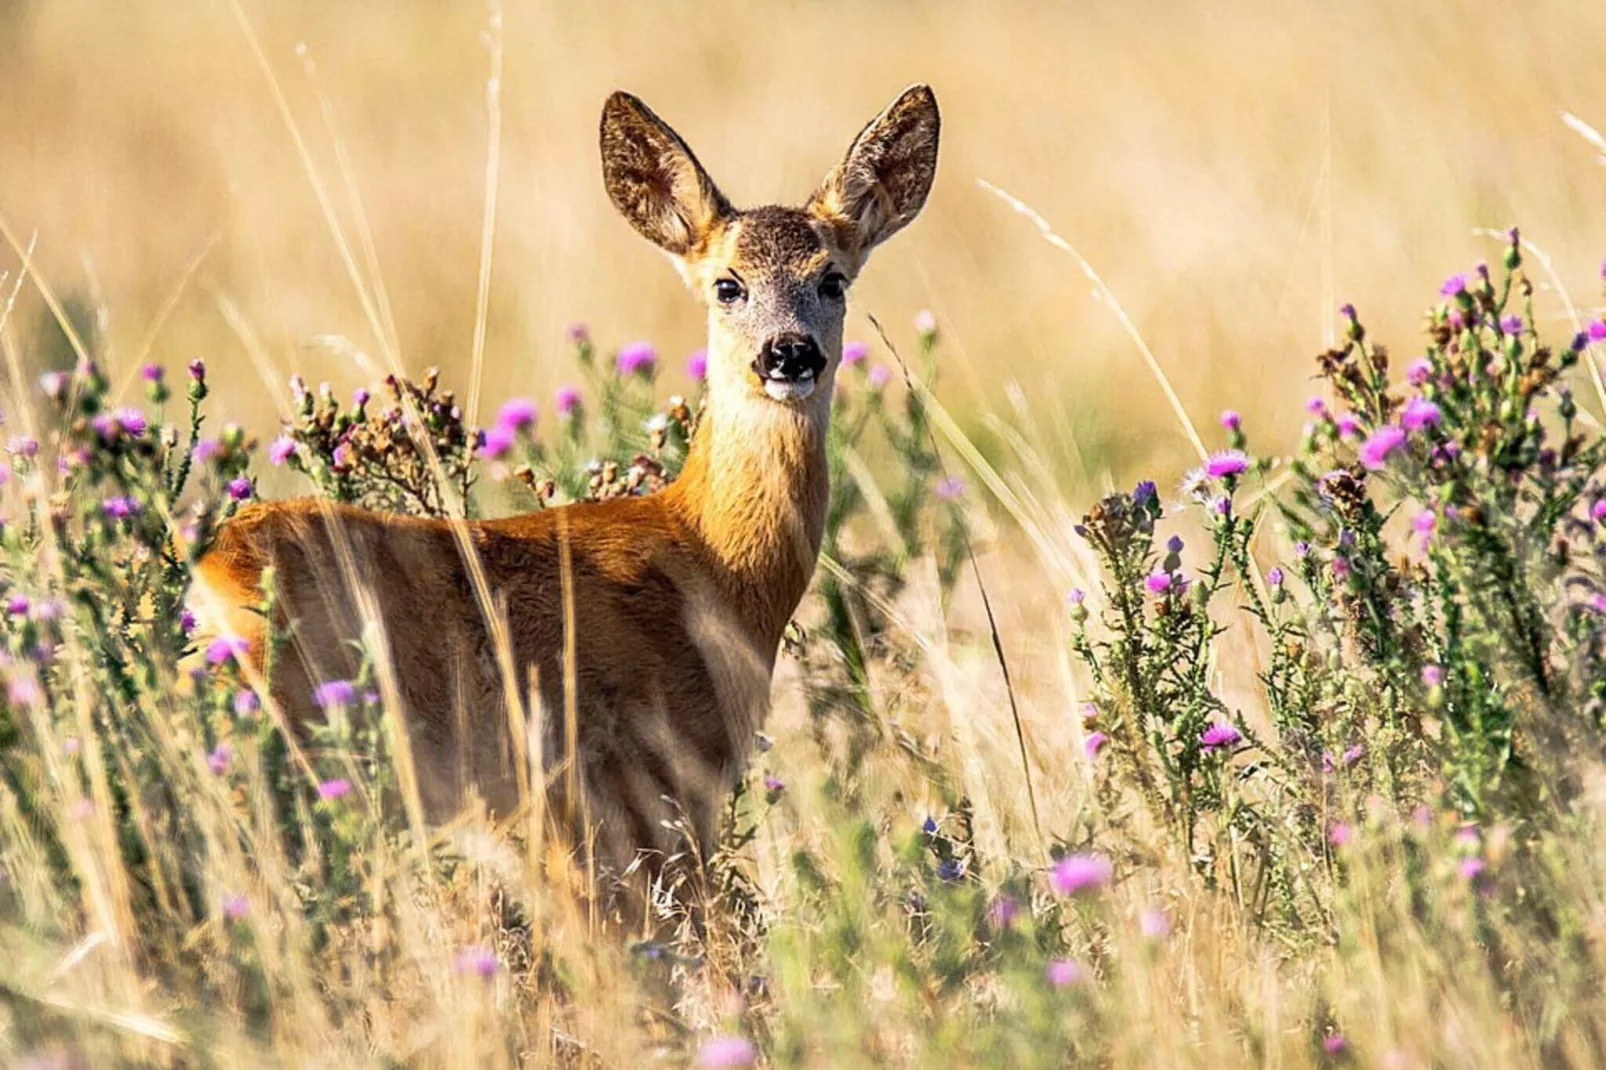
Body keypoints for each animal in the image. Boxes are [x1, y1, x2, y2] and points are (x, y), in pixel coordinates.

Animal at [187, 85, 937, 899]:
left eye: (832, 279)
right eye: (727, 285)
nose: (789, 353)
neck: (711, 562)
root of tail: (208, 577)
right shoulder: (637, 785)